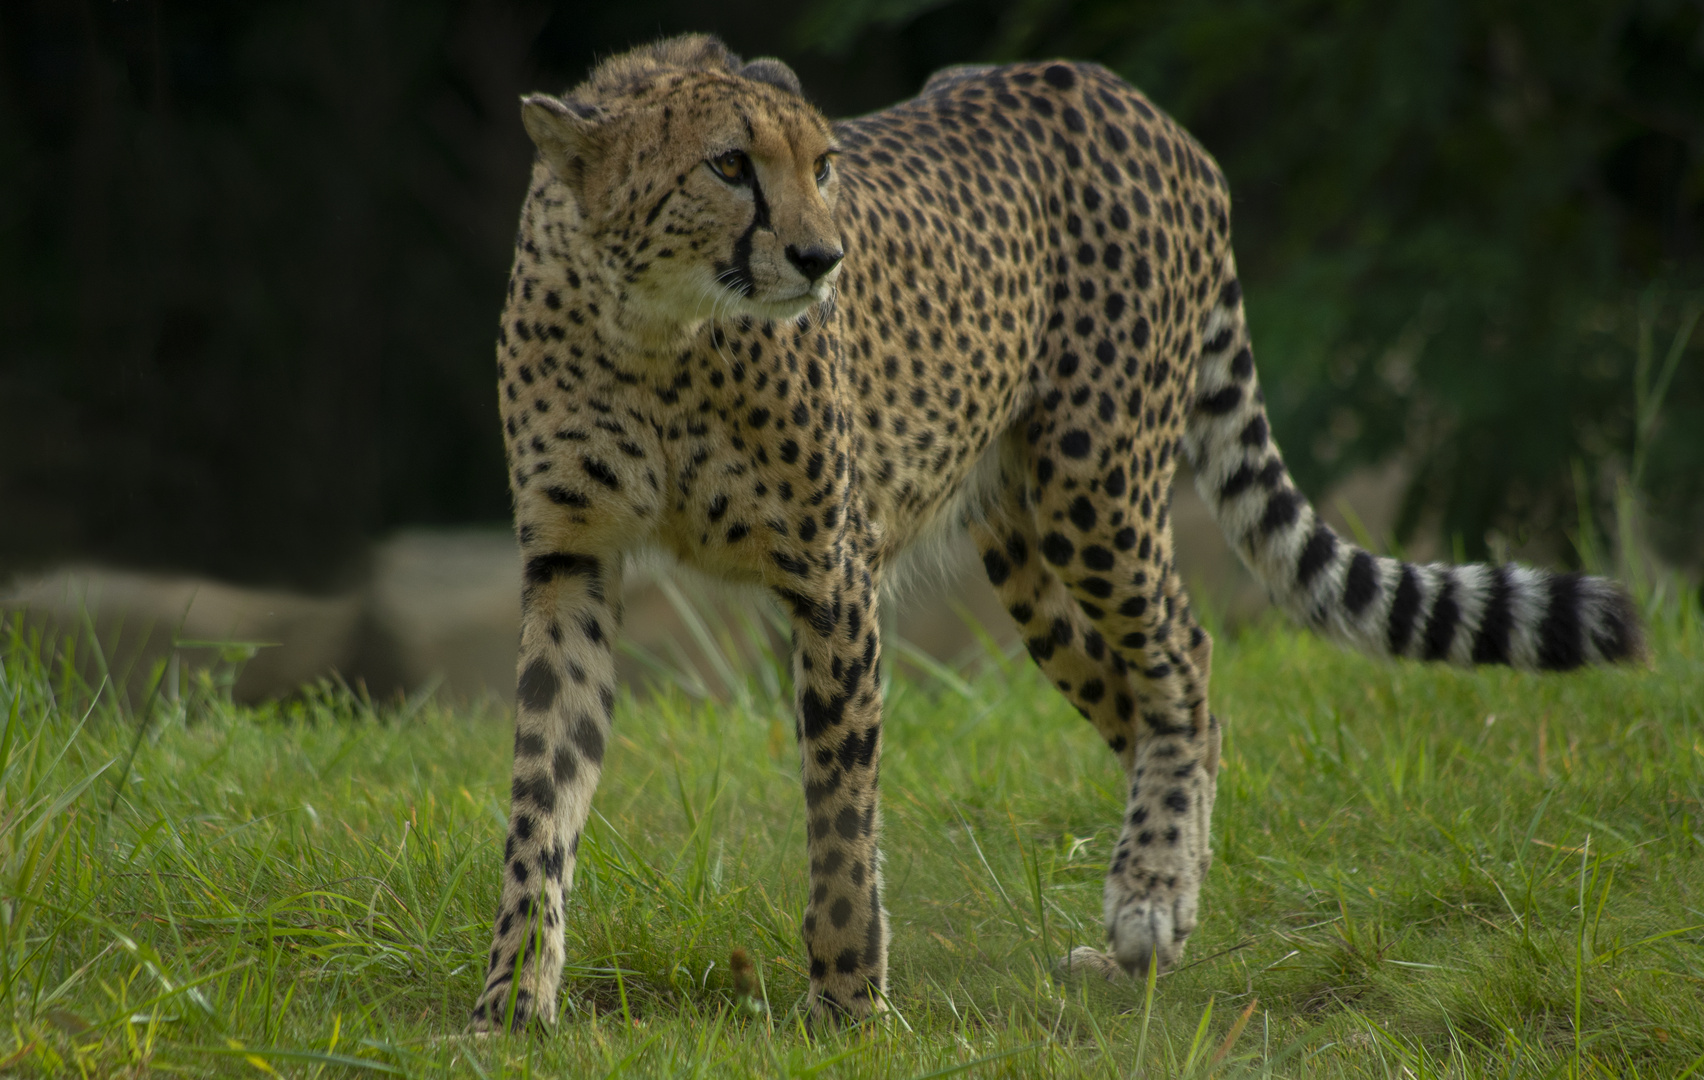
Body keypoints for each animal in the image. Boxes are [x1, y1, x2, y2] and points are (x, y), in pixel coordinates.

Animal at [473, 33, 1642, 1028]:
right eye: (727, 165)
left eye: (824, 163)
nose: (820, 258)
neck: (654, 329)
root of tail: (1117, 91)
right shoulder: (571, 561)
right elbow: (542, 787)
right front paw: (510, 1002)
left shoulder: (832, 572)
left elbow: (841, 809)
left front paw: (848, 1001)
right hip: (1023, 546)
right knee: (1153, 699)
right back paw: (1149, 934)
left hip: (1099, 485)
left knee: (1185, 660)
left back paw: (1152, 896)